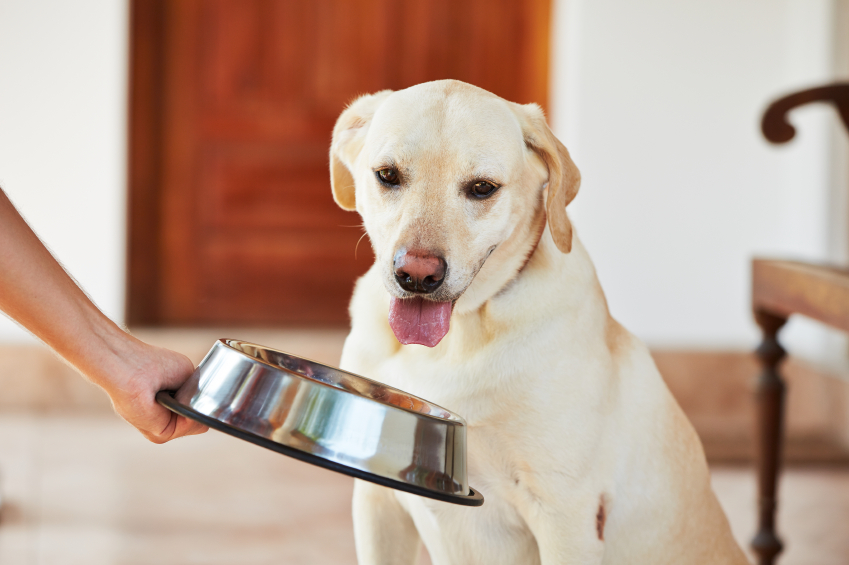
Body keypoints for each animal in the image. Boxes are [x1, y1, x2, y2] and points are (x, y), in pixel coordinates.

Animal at [328, 79, 744, 564]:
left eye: (482, 188)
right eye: (388, 175)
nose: (416, 275)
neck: (458, 338)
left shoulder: (567, 514)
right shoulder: (376, 497)